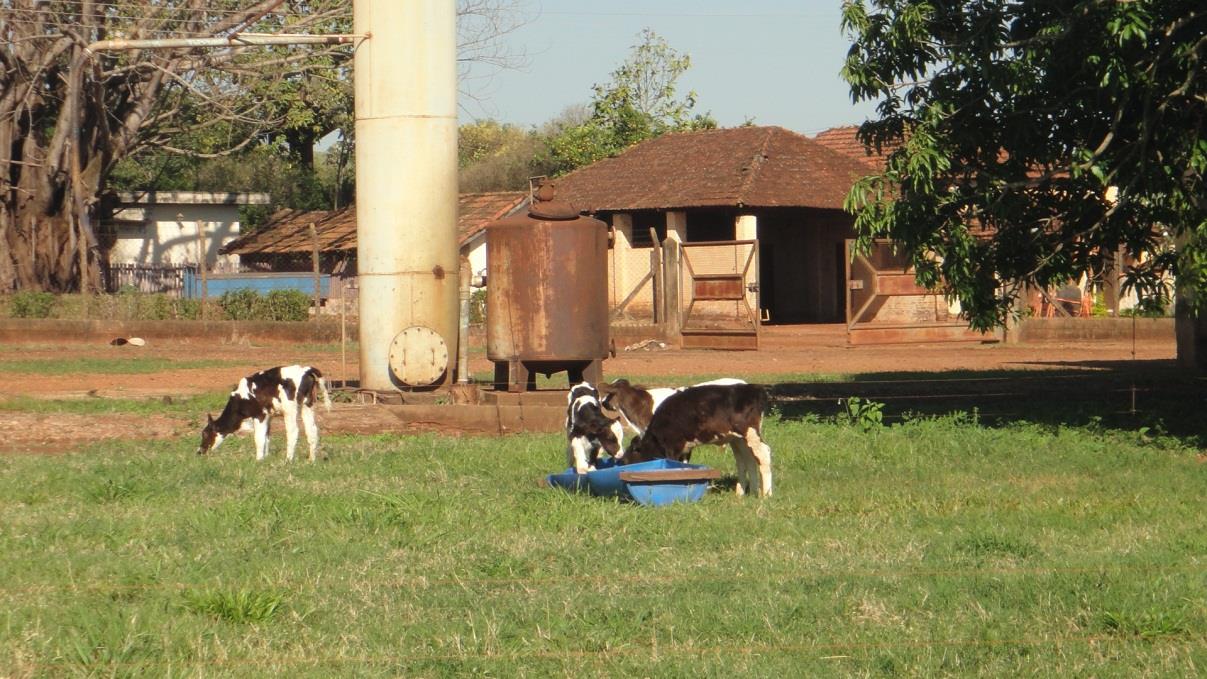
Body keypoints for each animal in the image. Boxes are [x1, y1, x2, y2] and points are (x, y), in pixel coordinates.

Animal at [197, 366, 333, 463]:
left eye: (205, 433)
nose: (199, 452)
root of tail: (306, 370)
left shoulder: (259, 415)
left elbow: (259, 438)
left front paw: (258, 460)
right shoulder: (269, 416)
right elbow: (267, 437)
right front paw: (266, 458)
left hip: (290, 409)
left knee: (293, 431)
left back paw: (288, 460)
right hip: (307, 405)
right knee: (312, 430)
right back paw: (311, 460)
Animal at [622, 383, 772, 499]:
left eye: (627, 458)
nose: (621, 464)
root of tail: (753, 388)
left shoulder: (672, 446)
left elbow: (672, 464)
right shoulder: (685, 448)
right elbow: (683, 466)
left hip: (750, 433)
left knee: (763, 454)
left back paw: (766, 495)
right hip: (739, 439)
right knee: (747, 460)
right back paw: (747, 493)